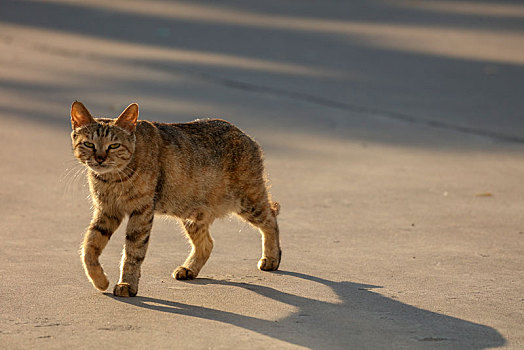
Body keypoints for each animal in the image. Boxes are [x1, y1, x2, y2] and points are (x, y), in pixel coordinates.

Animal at [72, 100, 282, 296]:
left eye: (114, 145)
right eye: (88, 144)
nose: (100, 159)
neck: (111, 179)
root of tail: (244, 134)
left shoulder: (141, 212)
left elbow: (133, 251)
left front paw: (127, 284)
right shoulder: (107, 211)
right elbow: (89, 247)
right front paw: (100, 280)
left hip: (248, 201)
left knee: (271, 218)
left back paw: (272, 258)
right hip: (193, 214)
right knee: (208, 244)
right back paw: (189, 268)